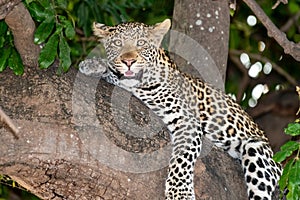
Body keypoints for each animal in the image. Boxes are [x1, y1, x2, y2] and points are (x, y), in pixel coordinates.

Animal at [79, 19, 282, 200]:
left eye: (141, 43)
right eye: (117, 44)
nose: (128, 61)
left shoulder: (186, 119)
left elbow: (182, 159)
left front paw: (180, 193)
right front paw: (92, 65)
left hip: (257, 150)